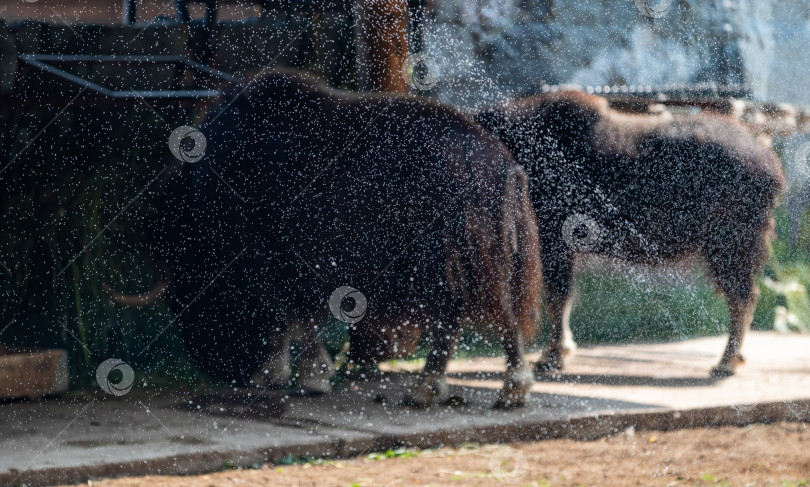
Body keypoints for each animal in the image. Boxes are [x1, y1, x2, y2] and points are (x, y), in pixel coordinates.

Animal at [109, 69, 536, 408]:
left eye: (187, 285)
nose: (213, 365)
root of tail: (503, 162)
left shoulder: (284, 262)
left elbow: (293, 318)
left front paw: (306, 376)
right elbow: (289, 320)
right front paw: (280, 374)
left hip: (450, 260)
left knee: (478, 315)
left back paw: (478, 390)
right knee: (470, 314)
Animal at [476, 92, 784, 382]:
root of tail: (771, 164)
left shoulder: (553, 240)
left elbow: (557, 296)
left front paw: (552, 358)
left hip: (730, 245)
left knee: (742, 297)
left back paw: (725, 363)